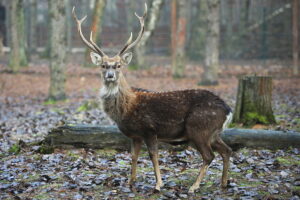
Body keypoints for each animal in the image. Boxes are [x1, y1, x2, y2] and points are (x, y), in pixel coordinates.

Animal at [72, 3, 232, 194]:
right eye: (103, 65)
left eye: (118, 66)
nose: (110, 75)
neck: (126, 109)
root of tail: (228, 110)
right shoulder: (135, 135)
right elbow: (134, 156)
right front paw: (130, 182)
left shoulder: (149, 129)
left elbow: (153, 155)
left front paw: (158, 184)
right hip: (213, 133)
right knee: (227, 150)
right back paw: (223, 183)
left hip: (199, 129)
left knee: (209, 156)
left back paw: (194, 187)